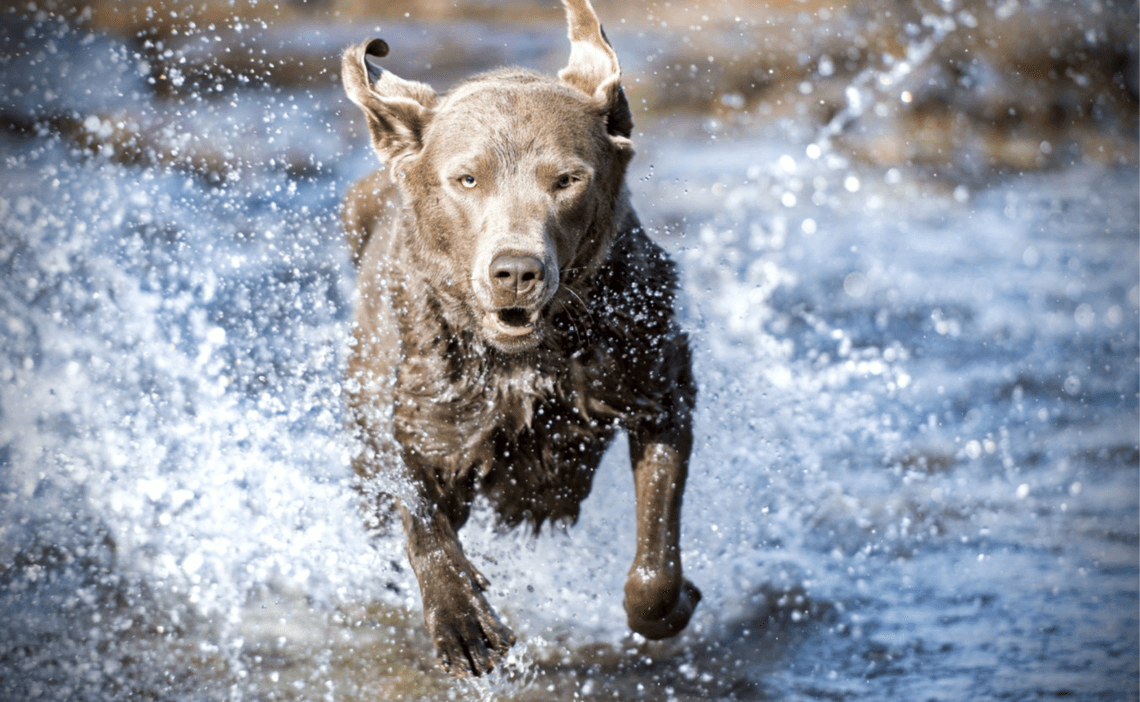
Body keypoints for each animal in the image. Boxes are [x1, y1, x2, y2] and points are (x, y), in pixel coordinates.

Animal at [337, 0, 693, 679]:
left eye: (567, 180)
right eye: (466, 179)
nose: (516, 271)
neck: (526, 361)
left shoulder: (657, 381)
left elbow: (655, 561)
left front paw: (674, 600)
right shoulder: (421, 410)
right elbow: (420, 511)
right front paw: (461, 620)